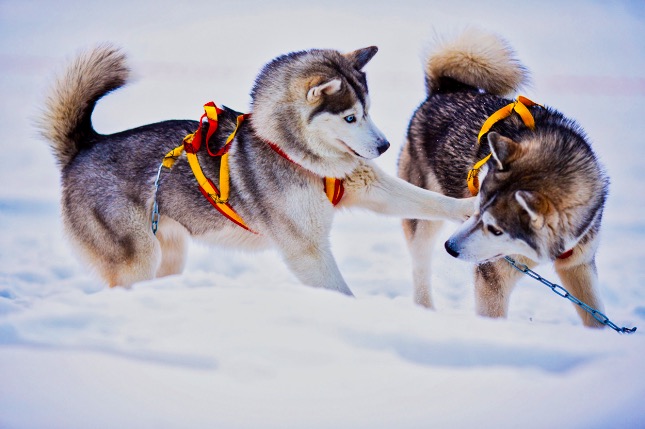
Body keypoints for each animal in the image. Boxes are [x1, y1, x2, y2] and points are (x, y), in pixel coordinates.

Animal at [41, 45, 472, 296]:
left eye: (367, 110)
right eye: (350, 117)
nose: (383, 146)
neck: (296, 154)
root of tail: (83, 147)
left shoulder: (365, 184)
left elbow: (424, 199)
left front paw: (467, 207)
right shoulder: (307, 249)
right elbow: (337, 290)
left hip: (170, 253)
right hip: (137, 260)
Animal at [398, 28, 608, 326]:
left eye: (496, 228)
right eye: (477, 208)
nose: (450, 247)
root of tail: (445, 90)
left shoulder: (579, 264)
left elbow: (597, 315)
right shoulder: (492, 276)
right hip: (424, 216)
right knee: (420, 266)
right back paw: (424, 310)